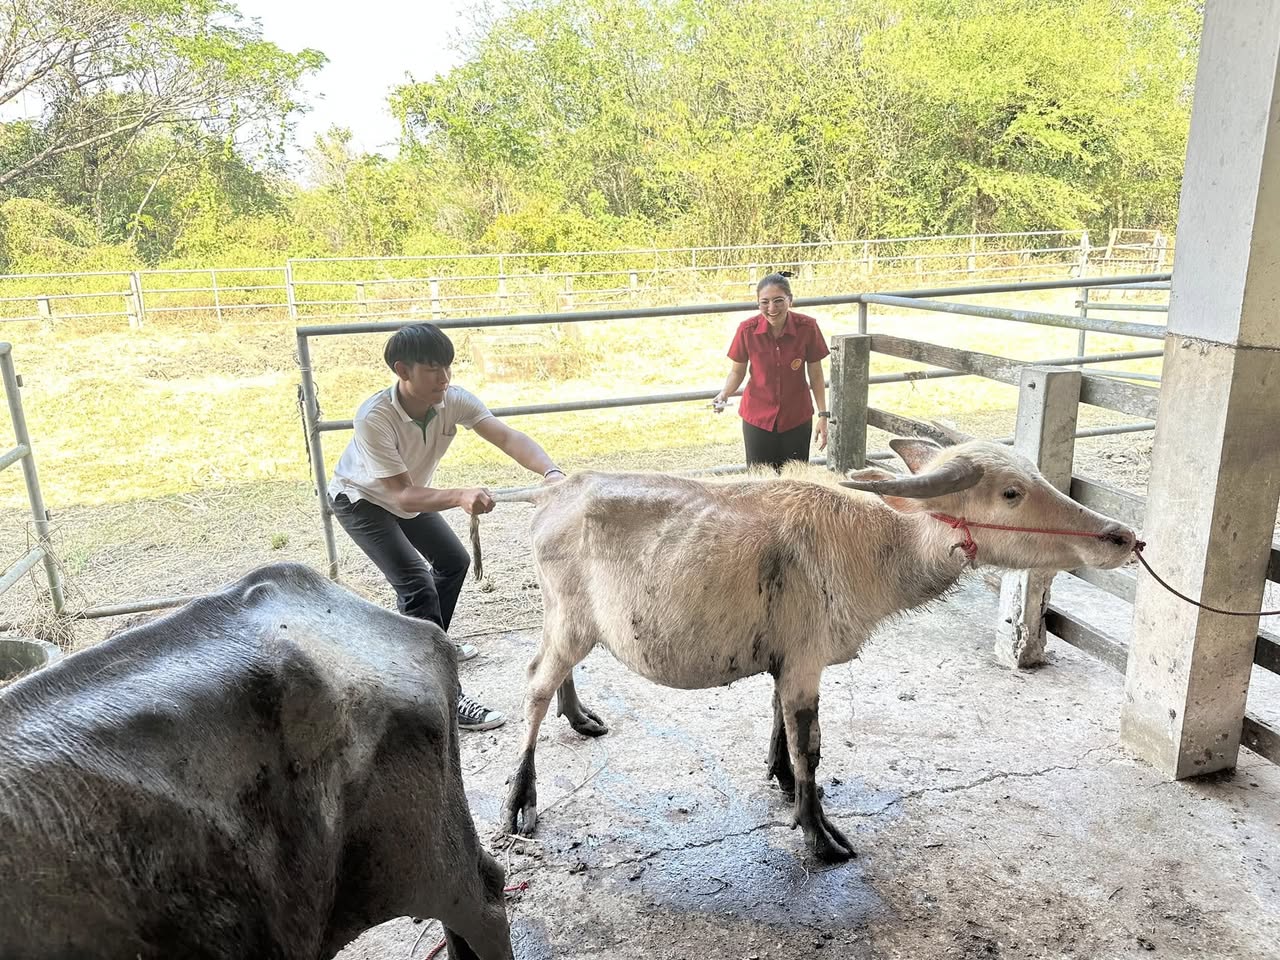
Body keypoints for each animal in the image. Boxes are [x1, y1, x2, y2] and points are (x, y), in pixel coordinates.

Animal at [470, 437, 1137, 863]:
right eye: (1011, 493)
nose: (1122, 534)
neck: (872, 543)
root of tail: (554, 495)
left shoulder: (786, 662)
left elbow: (781, 729)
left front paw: (782, 779)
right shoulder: (807, 666)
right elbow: (812, 747)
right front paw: (818, 832)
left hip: (570, 621)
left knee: (556, 672)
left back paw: (578, 716)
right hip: (570, 620)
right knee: (534, 683)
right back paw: (519, 798)